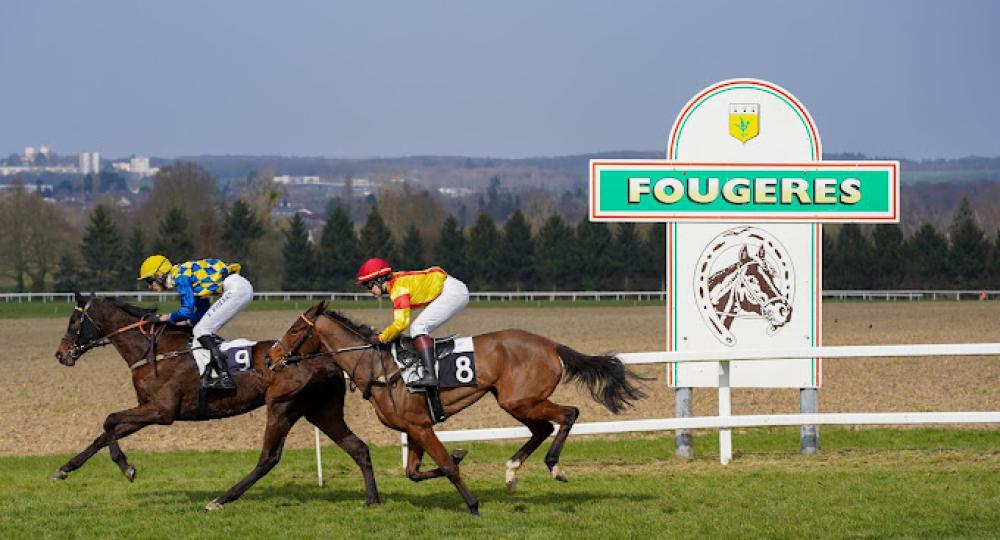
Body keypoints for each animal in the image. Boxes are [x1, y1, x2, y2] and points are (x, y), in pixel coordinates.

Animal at [55, 294, 382, 508]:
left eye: (74, 320)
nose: (60, 354)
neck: (154, 351)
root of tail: (328, 358)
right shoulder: (147, 409)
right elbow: (104, 432)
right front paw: (65, 468)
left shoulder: (161, 411)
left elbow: (109, 420)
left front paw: (127, 468)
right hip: (322, 412)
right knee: (358, 447)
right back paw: (372, 499)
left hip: (282, 406)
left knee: (269, 458)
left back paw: (222, 499)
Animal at [268, 302, 648, 516]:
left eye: (296, 329)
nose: (272, 356)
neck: (379, 369)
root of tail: (551, 344)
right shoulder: (413, 428)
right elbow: (414, 472)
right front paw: (460, 455)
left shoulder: (422, 427)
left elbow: (447, 467)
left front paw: (473, 505)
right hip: (515, 401)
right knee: (543, 428)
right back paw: (511, 472)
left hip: (521, 400)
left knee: (568, 414)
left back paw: (554, 467)